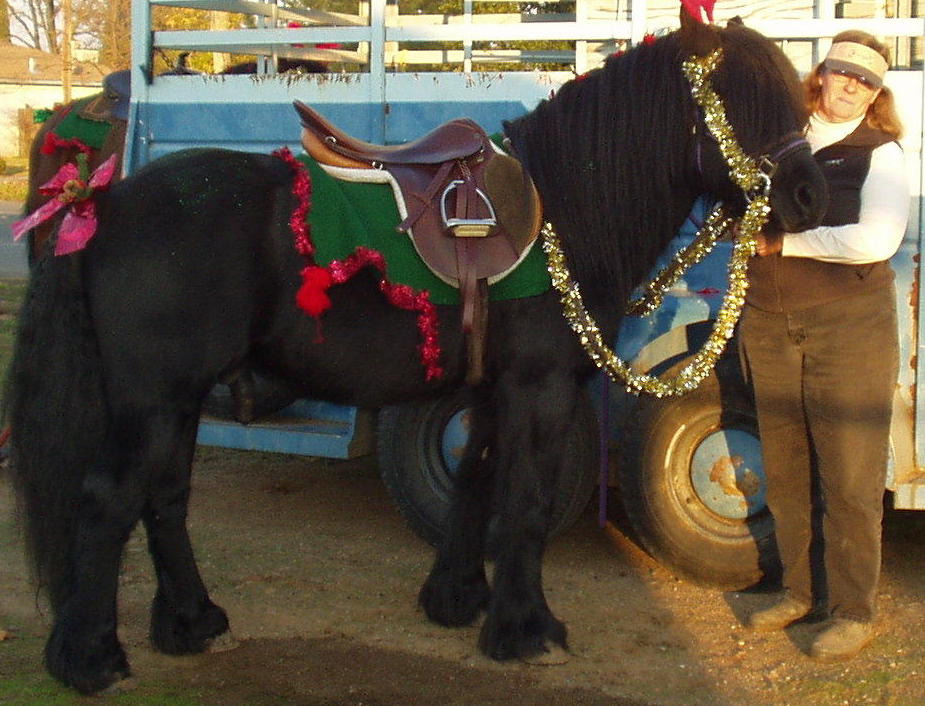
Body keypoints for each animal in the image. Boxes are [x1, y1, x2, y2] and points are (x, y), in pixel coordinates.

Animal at [7, 12, 828, 692]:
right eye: (740, 100)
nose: (811, 196)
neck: (563, 208)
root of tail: (103, 202)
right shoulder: (540, 387)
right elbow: (524, 501)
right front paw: (527, 631)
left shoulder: (492, 388)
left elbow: (477, 481)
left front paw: (457, 600)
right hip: (153, 399)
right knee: (107, 499)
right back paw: (90, 659)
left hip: (176, 398)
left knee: (166, 498)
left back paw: (193, 623)